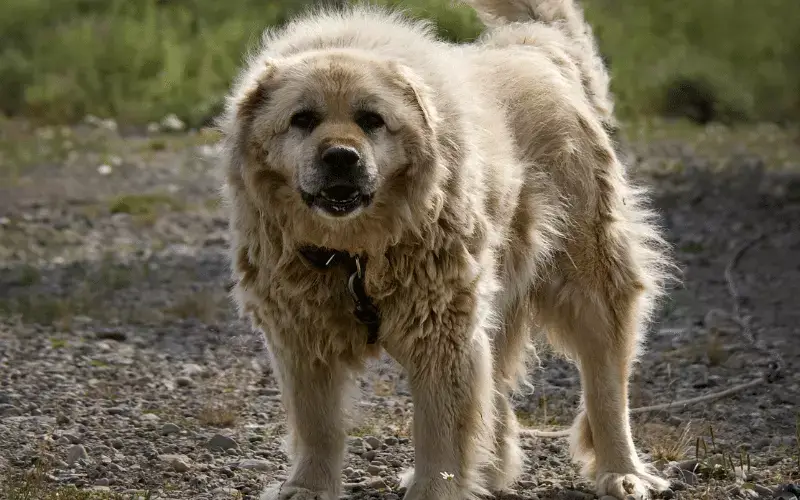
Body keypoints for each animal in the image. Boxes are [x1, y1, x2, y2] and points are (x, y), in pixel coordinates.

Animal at [216, 0, 672, 500]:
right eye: (303, 119)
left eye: (371, 119)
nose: (341, 156)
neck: (355, 252)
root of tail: (534, 44)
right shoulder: (303, 332)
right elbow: (318, 424)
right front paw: (309, 486)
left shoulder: (441, 330)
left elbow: (439, 428)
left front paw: (434, 488)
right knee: (496, 391)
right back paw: (493, 472)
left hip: (590, 284)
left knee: (606, 388)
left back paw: (623, 472)